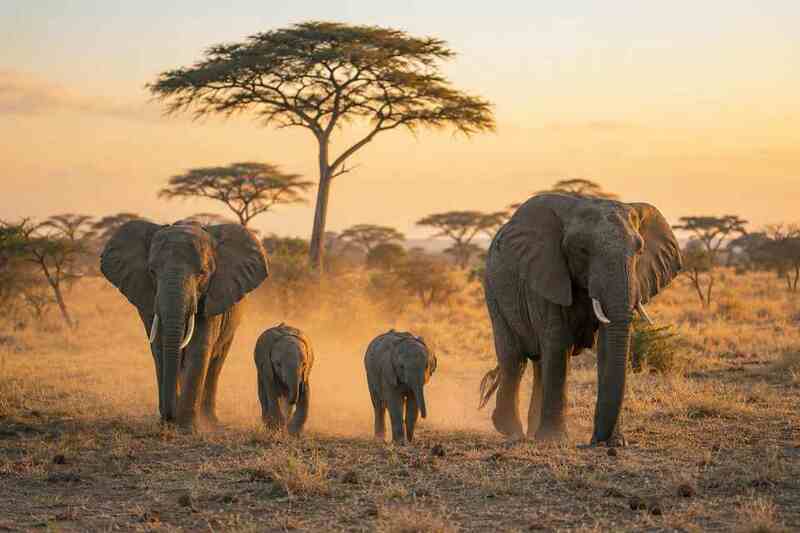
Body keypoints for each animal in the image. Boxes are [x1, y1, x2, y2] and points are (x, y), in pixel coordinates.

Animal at [100, 219, 268, 430]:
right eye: (152, 272)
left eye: (202, 273)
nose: (169, 417)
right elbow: (160, 348)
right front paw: (168, 423)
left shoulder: (212, 297)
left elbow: (198, 350)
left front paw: (186, 428)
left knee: (216, 363)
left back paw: (210, 420)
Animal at [478, 193, 681, 447]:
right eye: (582, 250)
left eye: (639, 250)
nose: (597, 441)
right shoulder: (547, 274)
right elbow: (557, 344)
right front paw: (554, 441)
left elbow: (605, 345)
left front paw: (615, 443)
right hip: (493, 291)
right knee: (514, 359)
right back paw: (512, 431)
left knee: (538, 364)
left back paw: (531, 432)